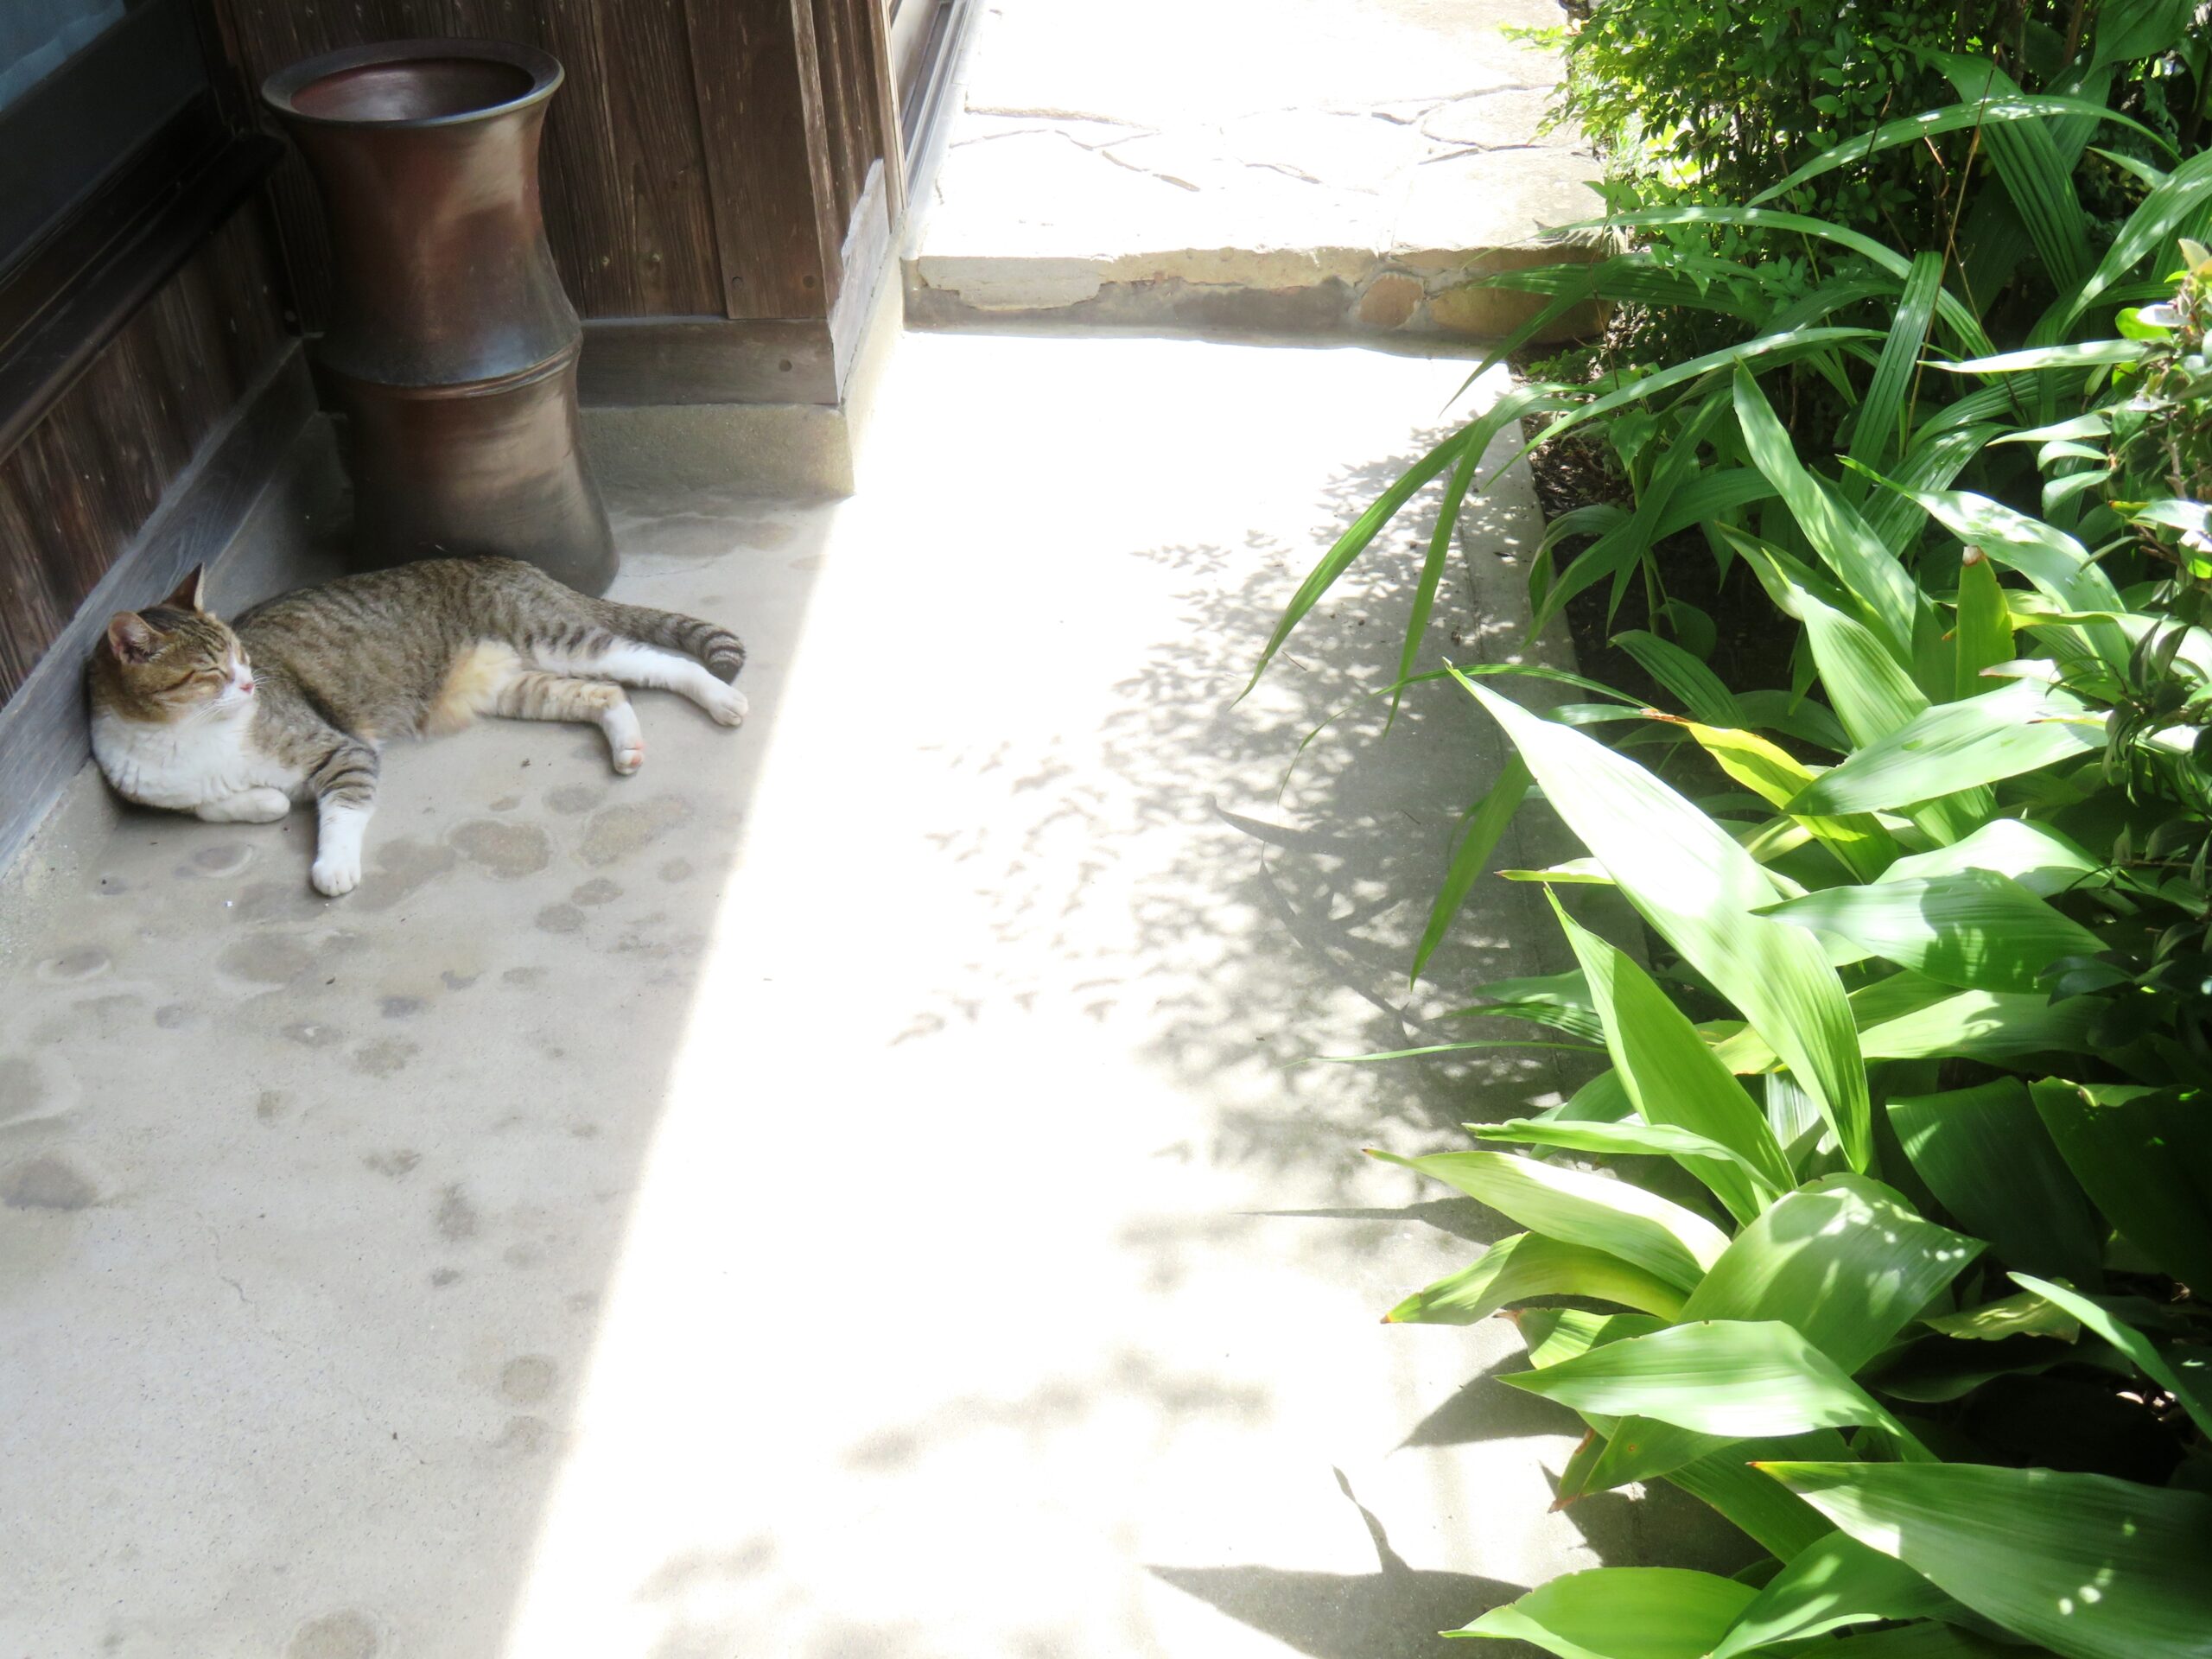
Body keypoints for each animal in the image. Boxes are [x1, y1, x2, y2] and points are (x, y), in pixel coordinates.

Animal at [88, 559, 743, 898]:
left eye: (241, 656)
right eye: (209, 670)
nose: (250, 685)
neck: (185, 738)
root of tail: (514, 562)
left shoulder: (343, 751)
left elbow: (343, 811)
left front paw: (333, 868)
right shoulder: (158, 790)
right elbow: (212, 805)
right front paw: (264, 801)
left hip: (561, 639)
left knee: (661, 663)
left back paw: (722, 699)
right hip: (518, 685)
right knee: (607, 693)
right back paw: (628, 747)